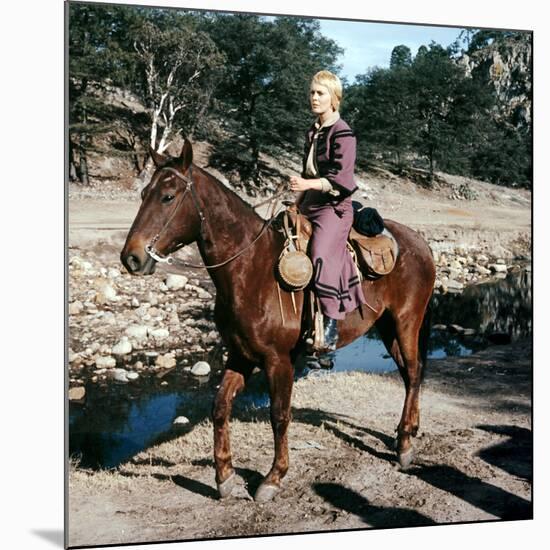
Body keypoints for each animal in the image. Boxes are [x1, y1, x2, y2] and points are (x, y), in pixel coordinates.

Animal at [121, 141, 436, 504]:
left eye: (168, 197)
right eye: (144, 193)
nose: (131, 258)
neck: (250, 270)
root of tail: (419, 242)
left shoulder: (278, 361)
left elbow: (279, 415)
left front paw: (273, 477)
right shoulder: (240, 356)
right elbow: (219, 407)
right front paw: (225, 476)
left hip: (406, 322)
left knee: (413, 372)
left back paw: (405, 446)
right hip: (386, 327)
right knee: (409, 374)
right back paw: (405, 433)